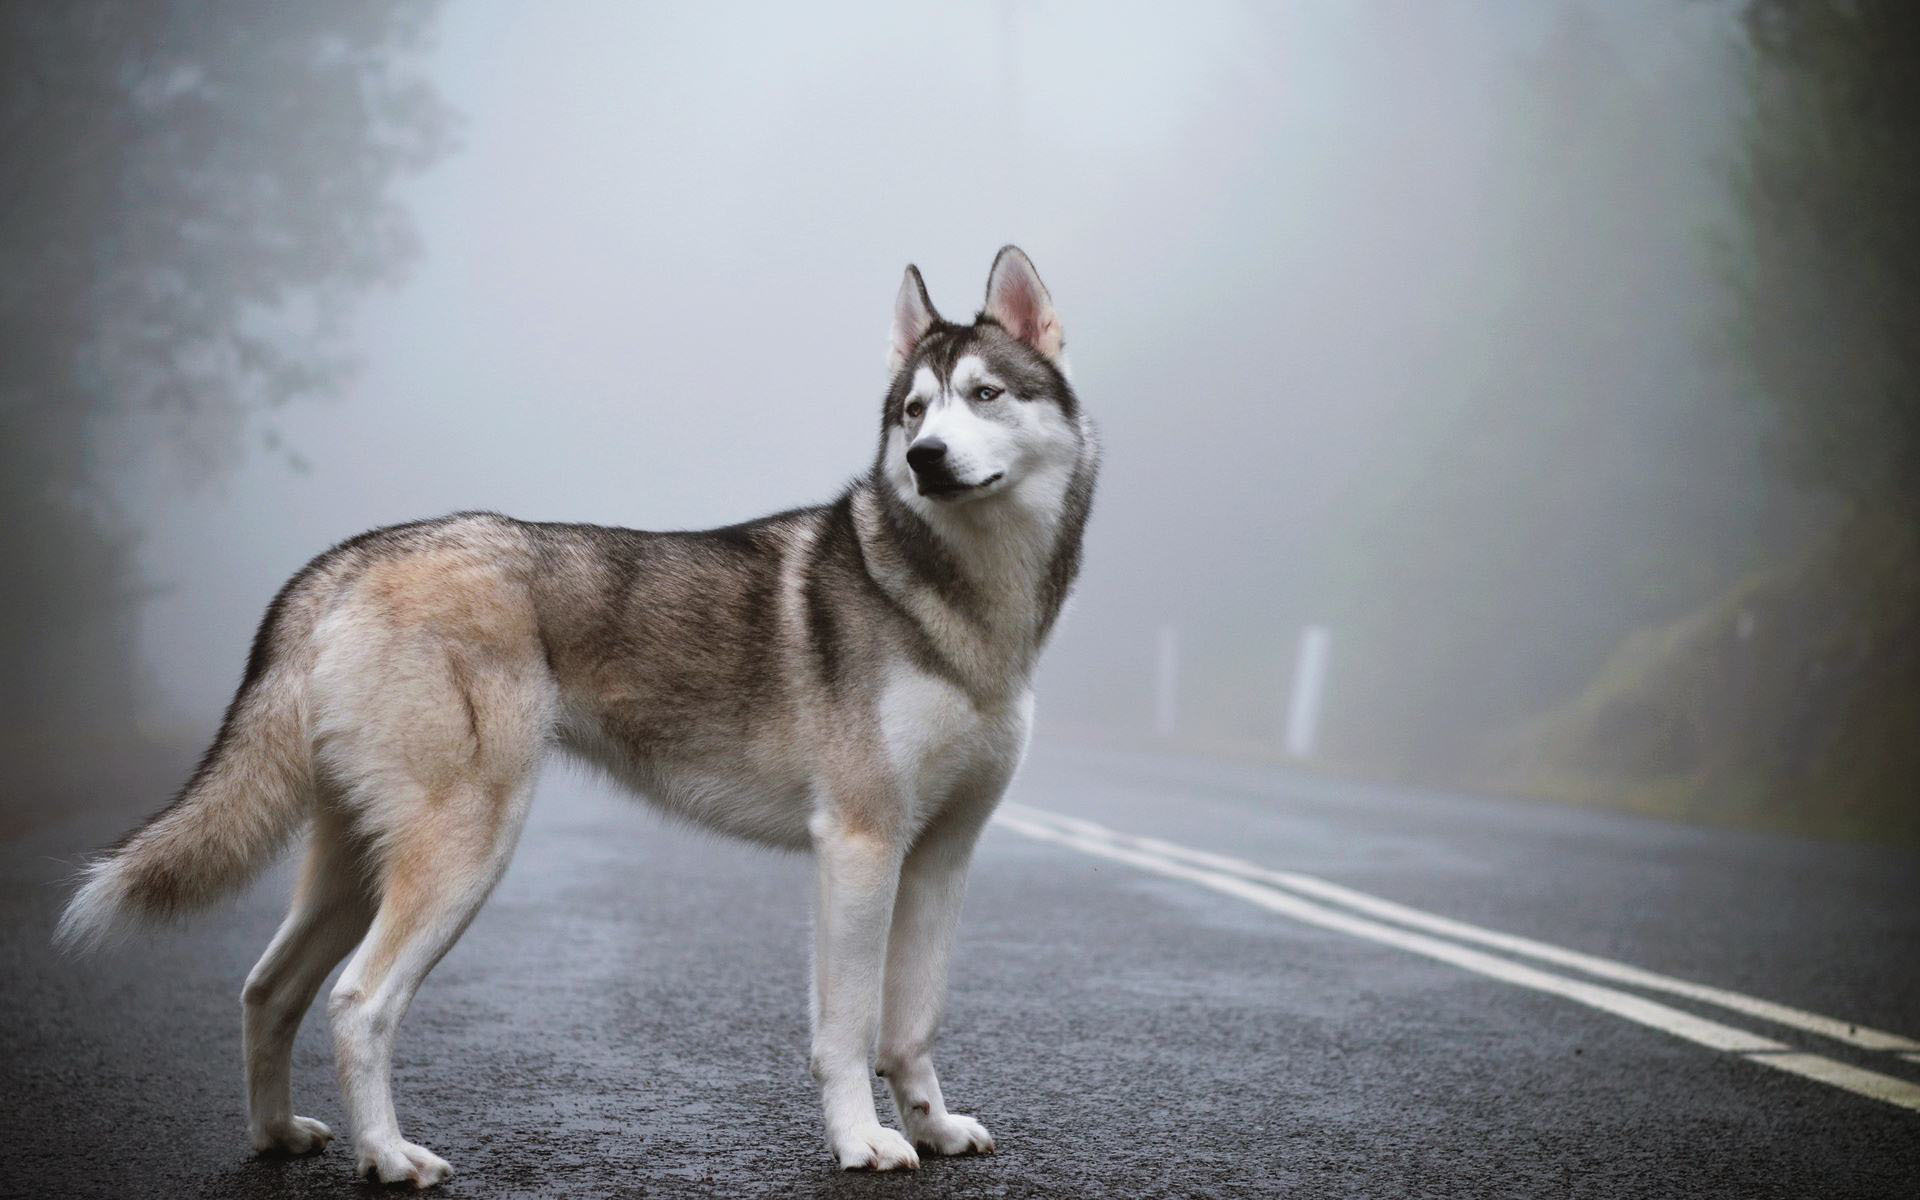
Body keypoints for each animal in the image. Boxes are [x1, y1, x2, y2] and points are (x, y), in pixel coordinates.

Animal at [60, 247, 1098, 1182]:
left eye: (985, 395)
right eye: (915, 410)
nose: (925, 459)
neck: (961, 605)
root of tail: (350, 558)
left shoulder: (939, 856)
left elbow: (911, 1024)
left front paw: (934, 1127)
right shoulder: (858, 843)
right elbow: (847, 1030)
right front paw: (864, 1143)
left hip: (354, 869)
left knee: (268, 989)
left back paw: (277, 1138)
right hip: (463, 852)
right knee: (358, 1002)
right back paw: (389, 1157)